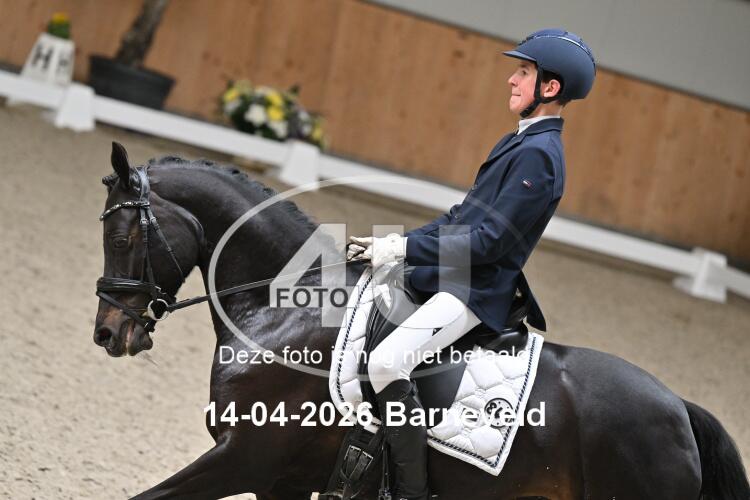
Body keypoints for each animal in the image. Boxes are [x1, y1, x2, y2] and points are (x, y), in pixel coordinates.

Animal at [93, 143, 749, 499]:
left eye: (121, 237)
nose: (108, 333)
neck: (282, 311)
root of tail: (679, 410)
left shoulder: (243, 458)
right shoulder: (279, 481)